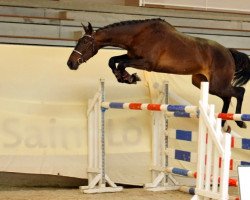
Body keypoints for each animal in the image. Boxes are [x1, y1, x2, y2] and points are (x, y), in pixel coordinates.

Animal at [67, 18, 250, 128]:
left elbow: (121, 64)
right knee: (227, 97)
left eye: (84, 42)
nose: (70, 63)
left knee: (239, 92)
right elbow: (113, 60)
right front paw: (125, 77)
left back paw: (239, 122)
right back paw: (222, 123)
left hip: (217, 84)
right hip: (203, 83)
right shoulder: (132, 56)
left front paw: (129, 77)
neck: (138, 35)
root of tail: (228, 52)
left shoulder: (147, 63)